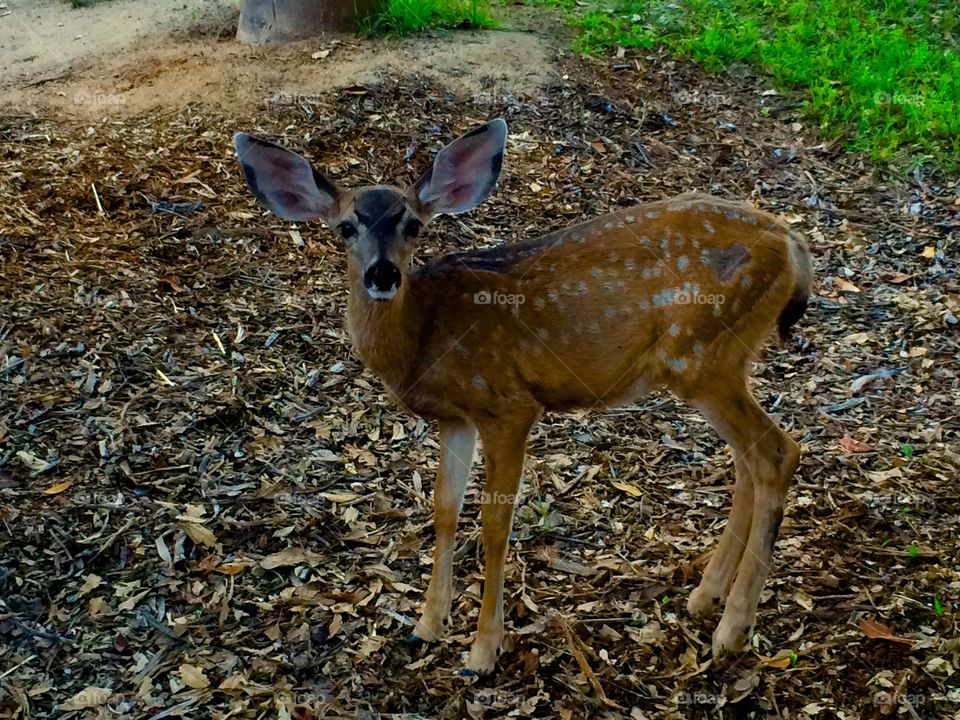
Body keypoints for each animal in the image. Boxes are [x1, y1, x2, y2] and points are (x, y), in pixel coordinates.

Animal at [232, 116, 808, 676]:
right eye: (345, 227)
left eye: (413, 225)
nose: (382, 273)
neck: (424, 336)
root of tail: (794, 246)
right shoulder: (455, 418)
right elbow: (444, 508)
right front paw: (427, 626)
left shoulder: (507, 404)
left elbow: (495, 524)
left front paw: (483, 653)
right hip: (720, 361)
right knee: (748, 461)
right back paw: (705, 597)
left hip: (701, 354)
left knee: (778, 452)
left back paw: (732, 629)